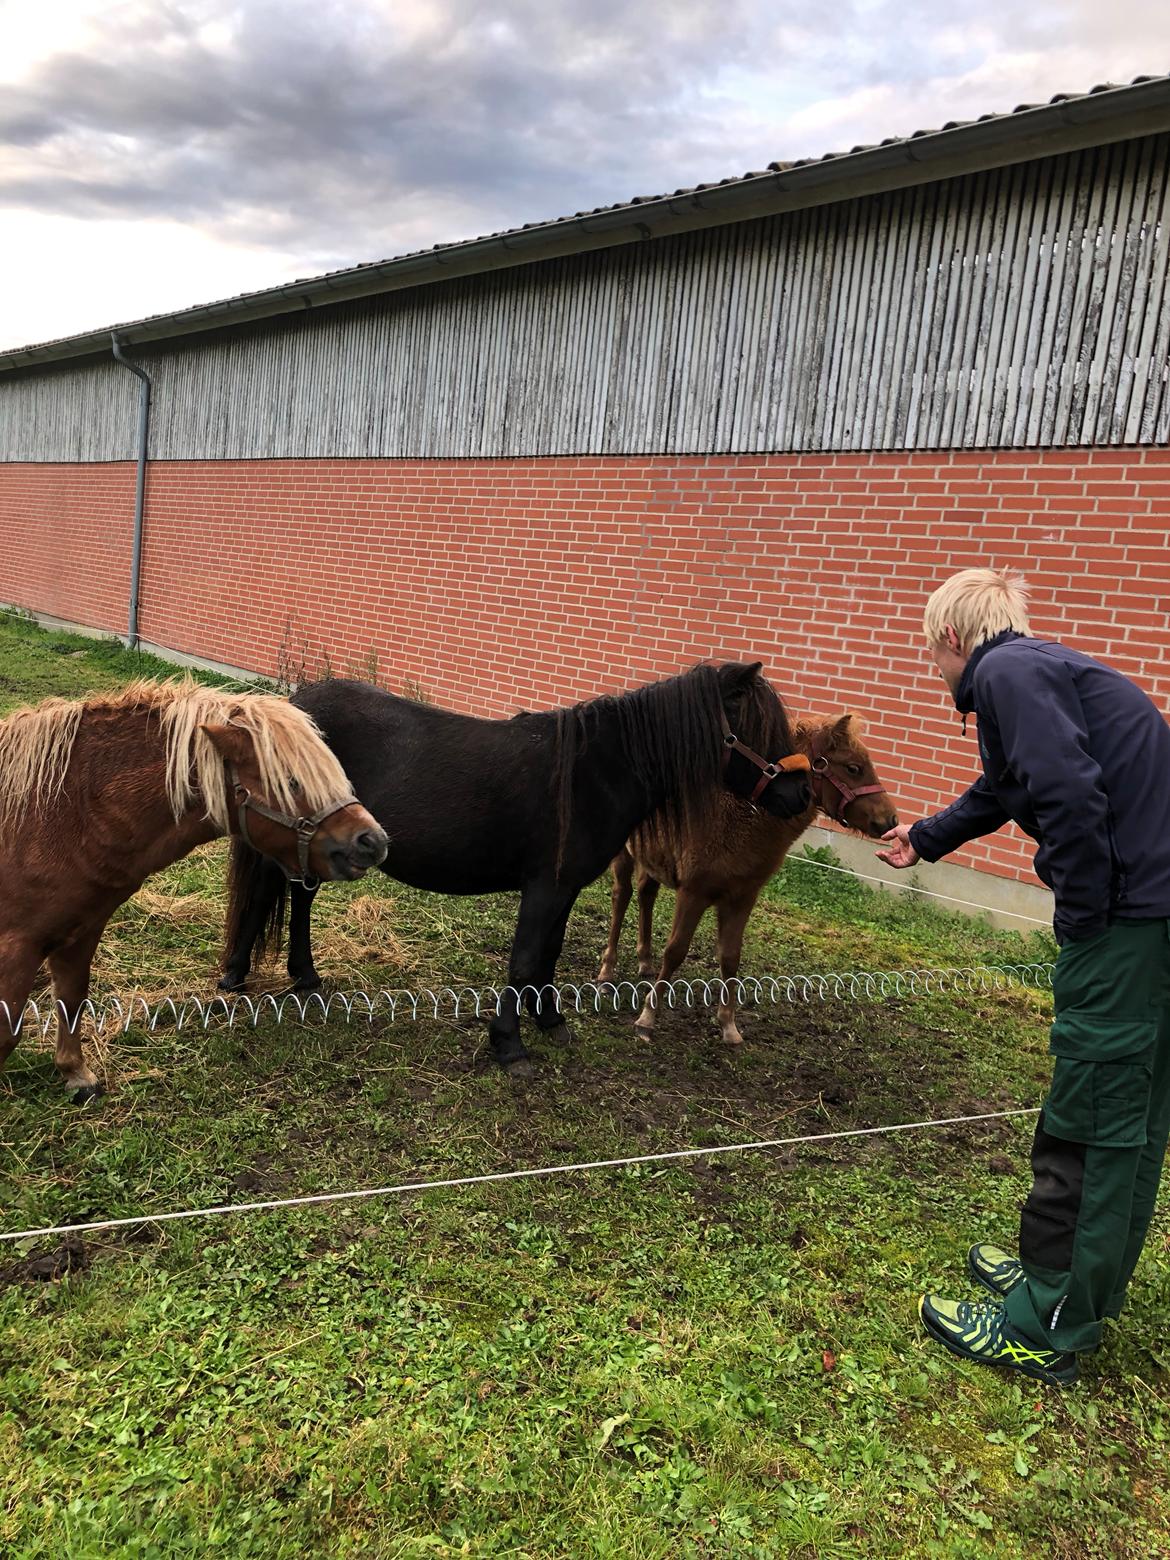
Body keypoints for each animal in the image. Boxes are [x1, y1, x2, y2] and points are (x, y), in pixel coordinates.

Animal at [0, 680, 390, 1098]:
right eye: (290, 781)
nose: (372, 841)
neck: (59, 815)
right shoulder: (18, 947)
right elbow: (8, 1032)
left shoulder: (81, 932)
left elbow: (72, 1000)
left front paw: (75, 1072)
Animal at [599, 717, 904, 1048]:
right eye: (853, 768)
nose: (891, 820)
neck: (742, 815)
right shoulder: (693, 893)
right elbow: (675, 951)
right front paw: (647, 1020)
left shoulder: (743, 897)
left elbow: (731, 957)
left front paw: (728, 1026)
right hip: (623, 854)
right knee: (621, 897)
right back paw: (607, 972)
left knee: (645, 895)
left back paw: (644, 962)